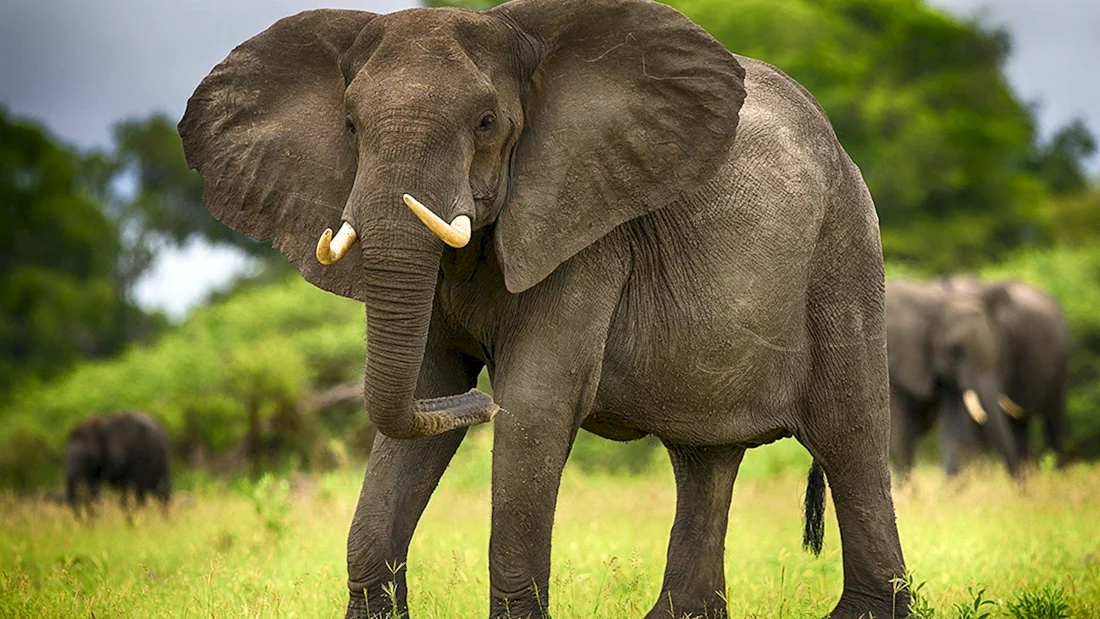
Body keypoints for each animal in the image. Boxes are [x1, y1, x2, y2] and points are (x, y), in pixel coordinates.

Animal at [179, 1, 908, 617]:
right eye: (352, 126)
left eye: (486, 123)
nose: (481, 402)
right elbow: (424, 388)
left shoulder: (585, 227)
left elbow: (534, 407)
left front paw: (500, 404)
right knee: (705, 456)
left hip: (844, 249)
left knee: (850, 433)